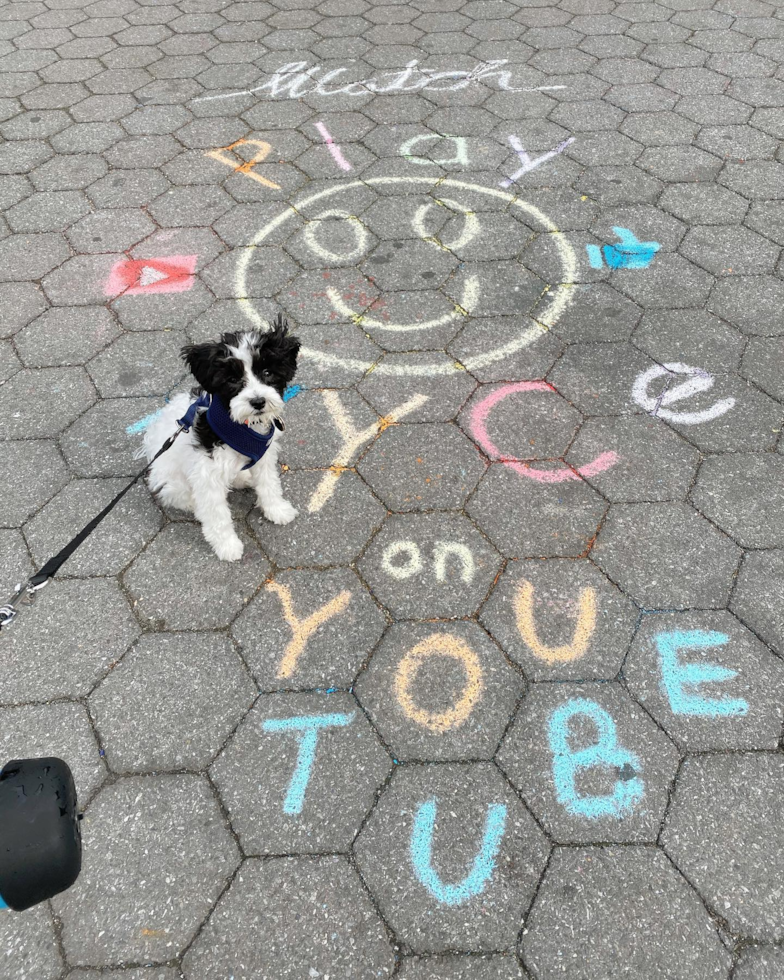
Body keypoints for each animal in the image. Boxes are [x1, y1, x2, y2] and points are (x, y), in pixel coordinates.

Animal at [141, 322, 300, 564]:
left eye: (267, 373)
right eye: (232, 380)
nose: (258, 401)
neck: (240, 425)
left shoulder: (264, 457)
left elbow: (269, 484)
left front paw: (277, 509)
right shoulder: (207, 474)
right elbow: (217, 514)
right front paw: (227, 545)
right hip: (173, 480)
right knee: (175, 494)